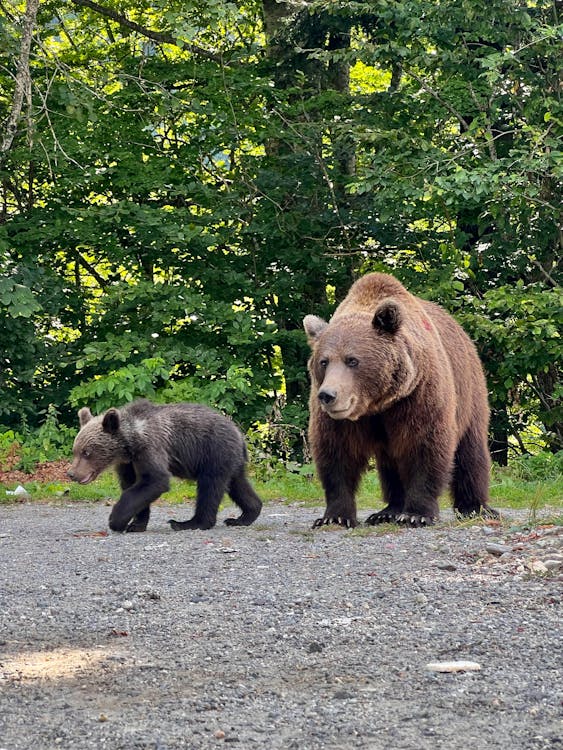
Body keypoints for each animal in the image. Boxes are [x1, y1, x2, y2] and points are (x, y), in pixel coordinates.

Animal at [304, 274, 498, 528]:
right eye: (324, 361)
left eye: (352, 360)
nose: (328, 395)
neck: (377, 404)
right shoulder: (341, 420)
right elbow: (336, 454)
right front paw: (335, 516)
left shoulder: (418, 395)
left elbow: (425, 445)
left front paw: (417, 514)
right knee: (391, 464)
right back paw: (387, 511)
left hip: (469, 392)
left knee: (470, 453)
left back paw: (476, 507)